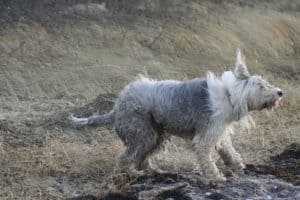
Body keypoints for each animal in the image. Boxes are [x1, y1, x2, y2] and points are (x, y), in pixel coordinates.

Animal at [70, 50, 284, 182]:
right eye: (262, 86)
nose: (280, 92)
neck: (231, 94)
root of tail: (118, 105)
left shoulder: (218, 131)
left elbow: (228, 150)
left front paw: (237, 166)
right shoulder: (206, 134)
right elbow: (206, 155)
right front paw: (215, 176)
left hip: (156, 134)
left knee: (142, 157)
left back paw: (154, 171)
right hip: (142, 132)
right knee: (127, 158)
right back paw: (132, 173)